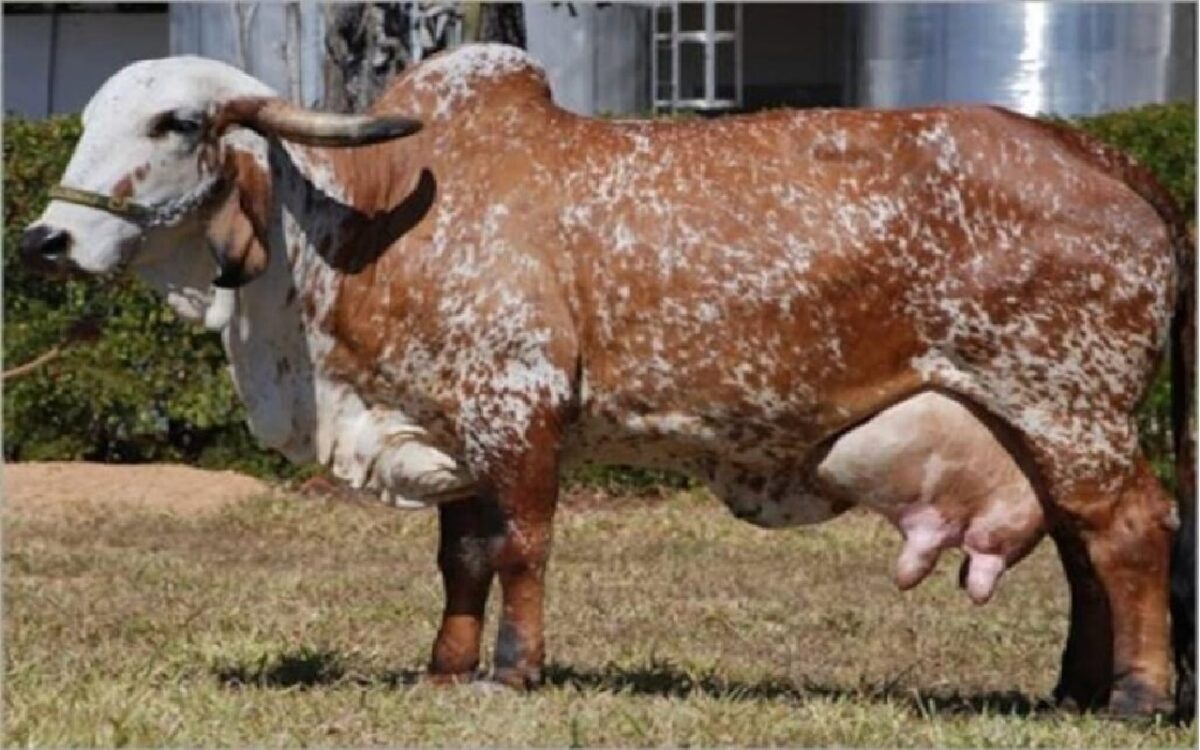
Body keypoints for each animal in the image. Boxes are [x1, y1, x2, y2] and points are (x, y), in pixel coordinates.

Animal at [20, 44, 1194, 716]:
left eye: (175, 123)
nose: (43, 240)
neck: (363, 222)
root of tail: (1104, 159)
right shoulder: (455, 429)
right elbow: (461, 559)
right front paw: (444, 669)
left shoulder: (519, 409)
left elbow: (521, 548)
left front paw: (513, 671)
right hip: (1039, 420)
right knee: (1082, 547)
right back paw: (1073, 690)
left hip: (1067, 403)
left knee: (1131, 533)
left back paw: (1136, 695)